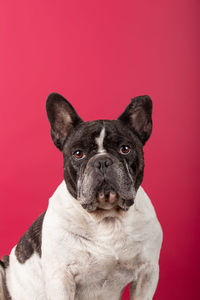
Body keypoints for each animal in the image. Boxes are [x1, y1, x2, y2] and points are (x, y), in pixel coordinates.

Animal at [0, 92, 162, 298]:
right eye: (78, 154)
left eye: (125, 149)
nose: (102, 161)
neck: (107, 218)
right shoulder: (61, 277)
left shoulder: (147, 273)